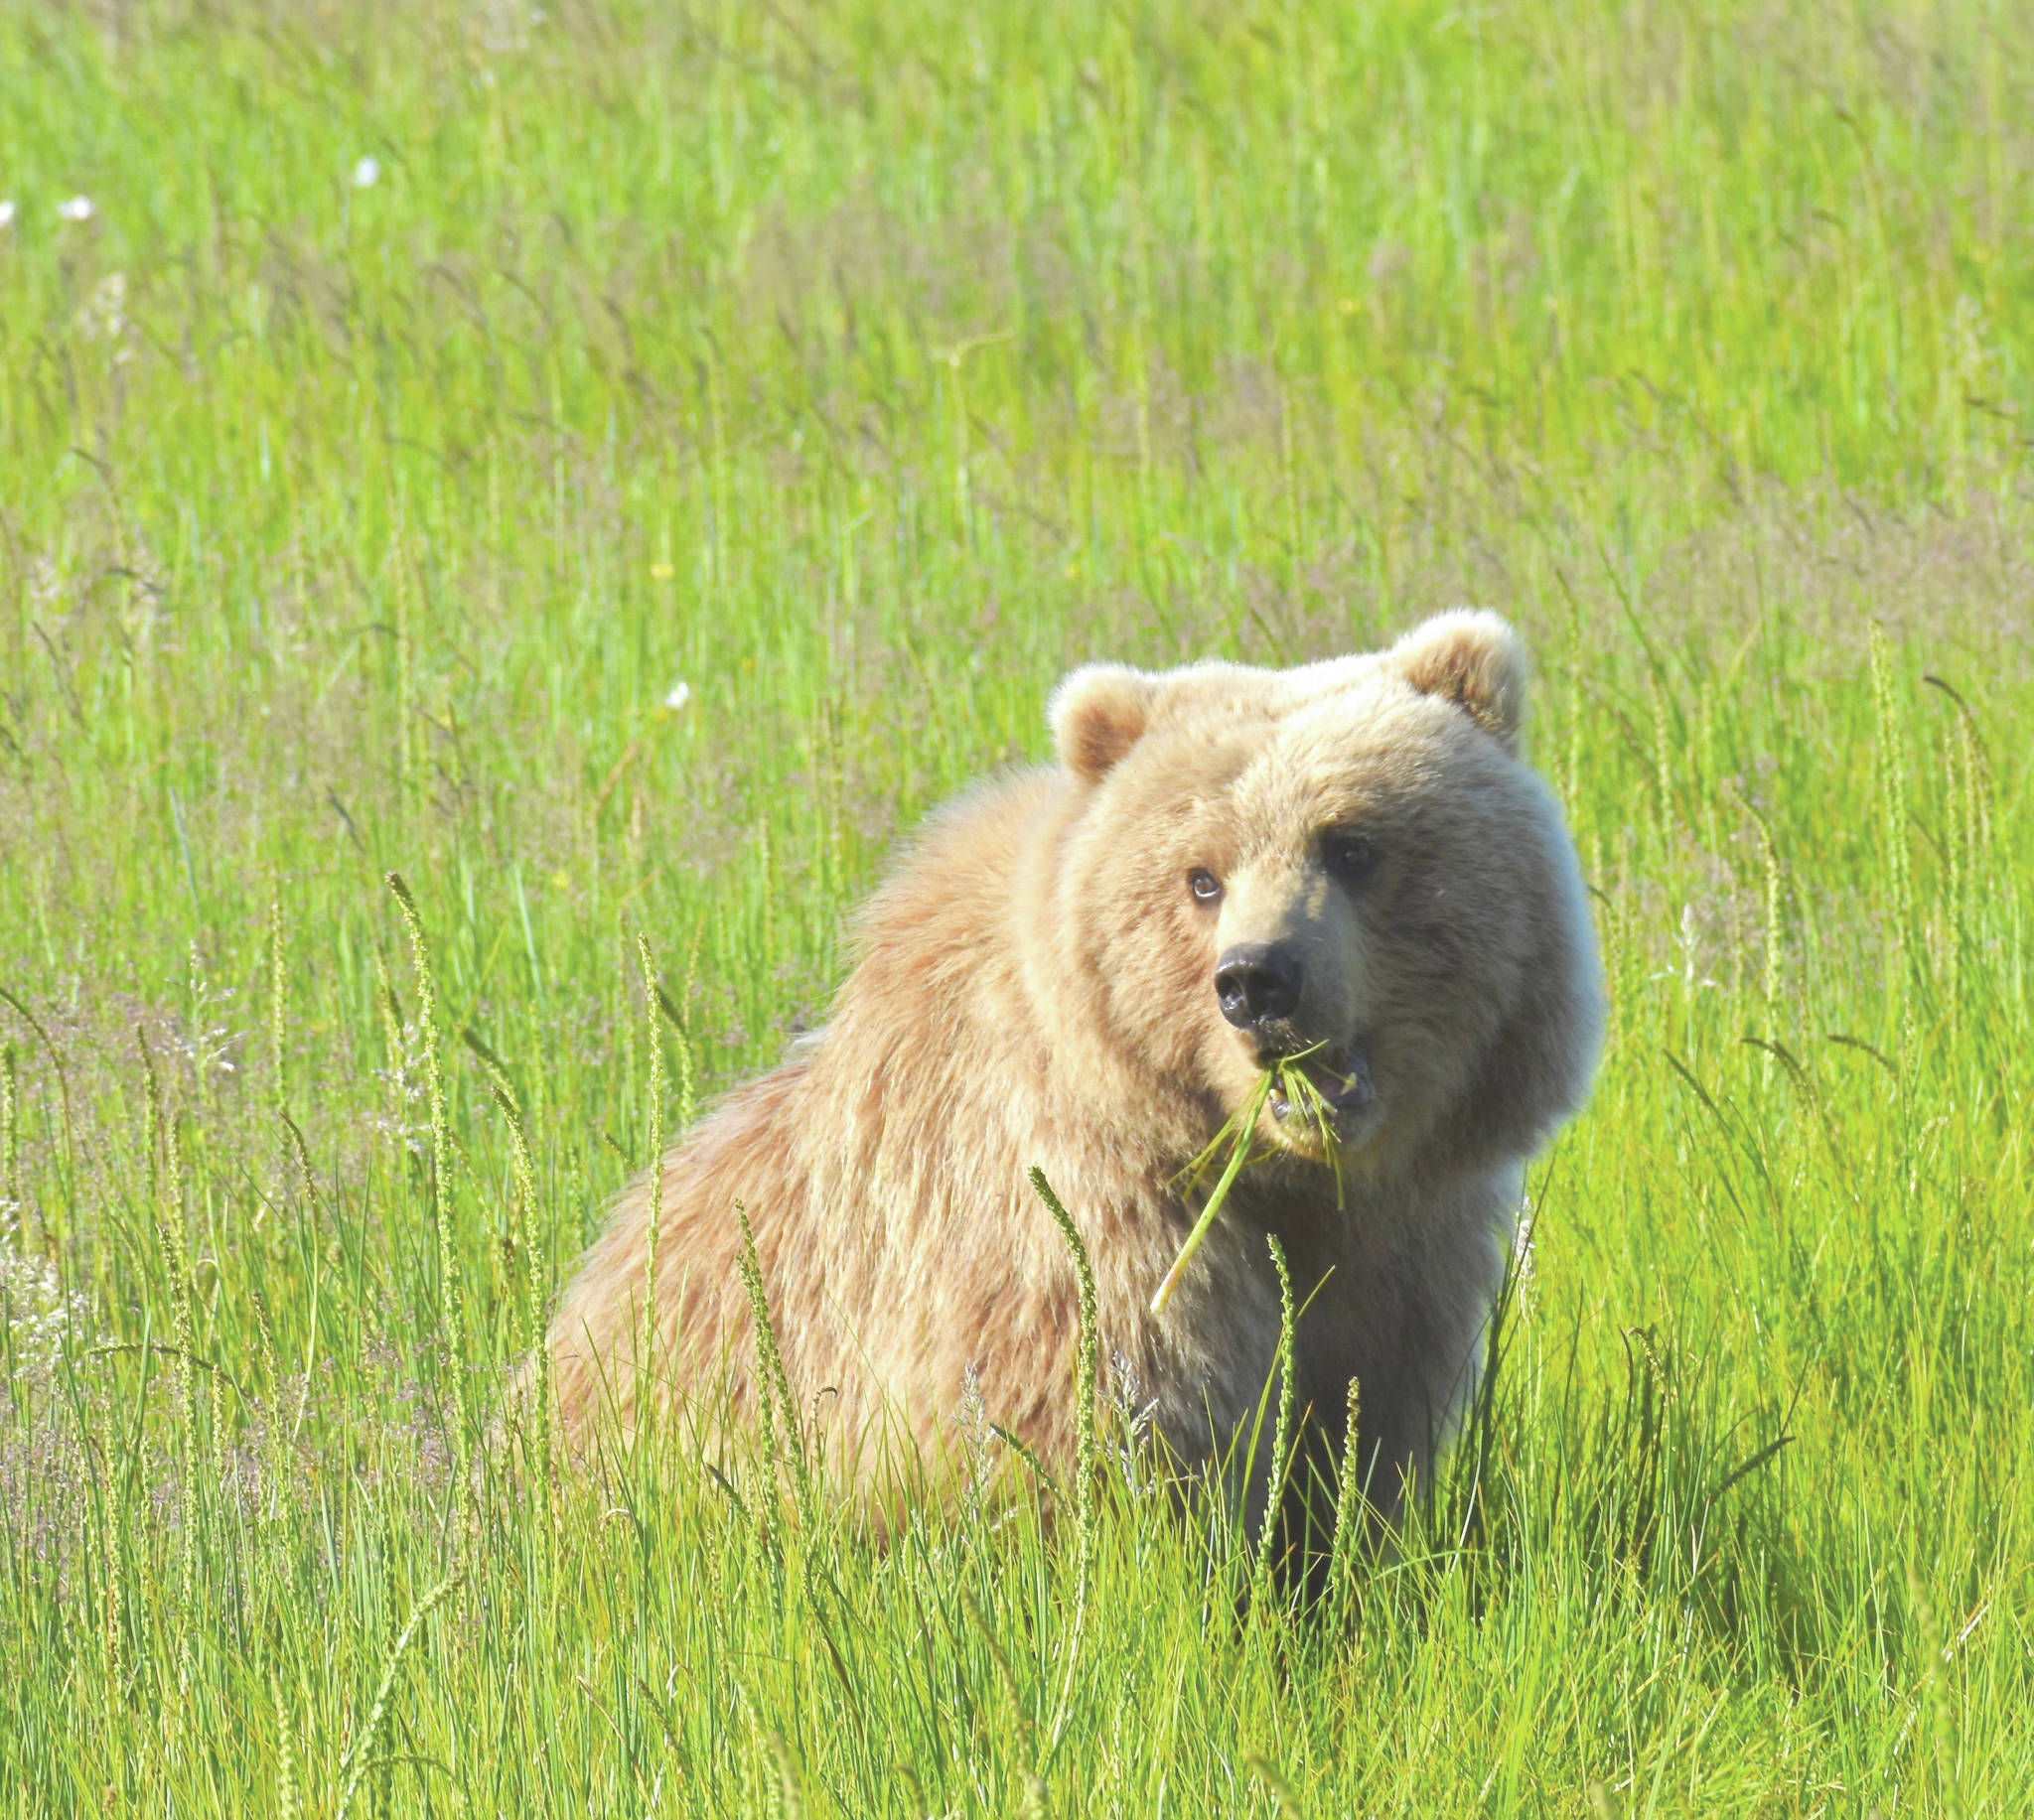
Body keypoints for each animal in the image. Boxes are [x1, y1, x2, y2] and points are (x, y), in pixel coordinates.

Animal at [542, 610, 1602, 1541]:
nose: (1258, 978)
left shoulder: (1400, 1255)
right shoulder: (1084, 1229)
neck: (1279, 1176)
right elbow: (1098, 1441)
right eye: (1201, 876)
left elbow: (1349, 1447)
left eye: (1351, 844)